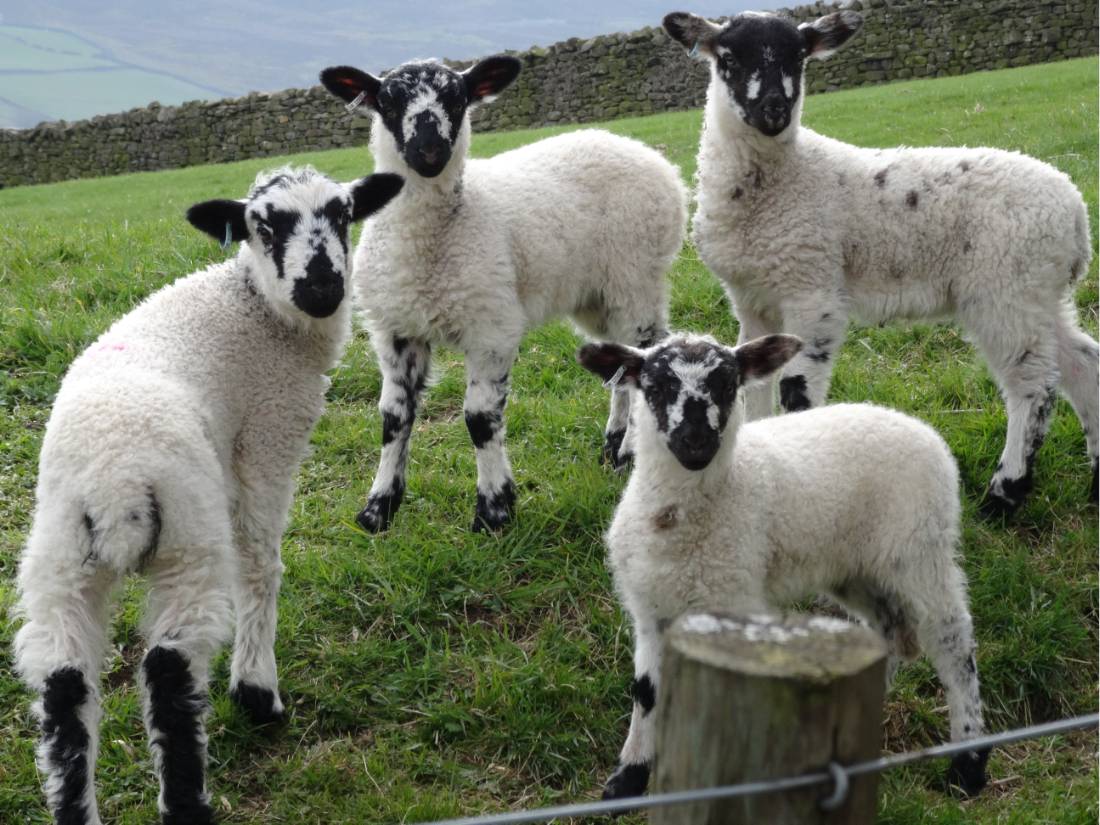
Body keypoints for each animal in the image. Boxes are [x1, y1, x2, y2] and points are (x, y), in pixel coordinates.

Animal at [12, 166, 404, 825]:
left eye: (344, 214)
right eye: (263, 225)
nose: (323, 286)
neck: (259, 311)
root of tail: (113, 477)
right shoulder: (268, 436)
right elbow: (261, 562)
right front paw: (256, 689)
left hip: (59, 554)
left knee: (62, 683)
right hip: (187, 536)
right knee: (169, 671)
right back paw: (188, 799)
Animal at [319, 57, 688, 533]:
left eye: (458, 99)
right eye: (388, 101)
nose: (429, 149)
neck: (430, 243)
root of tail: (649, 155)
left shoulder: (491, 325)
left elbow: (479, 419)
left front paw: (494, 511)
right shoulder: (396, 329)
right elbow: (393, 417)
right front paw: (377, 509)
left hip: (637, 278)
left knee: (645, 353)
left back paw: (629, 451)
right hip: (596, 295)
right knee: (619, 364)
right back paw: (613, 447)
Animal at [577, 332, 990, 802]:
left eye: (728, 385)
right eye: (656, 386)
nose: (696, 442)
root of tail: (920, 427)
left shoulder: (735, 602)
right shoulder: (650, 608)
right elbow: (646, 692)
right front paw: (627, 778)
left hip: (919, 547)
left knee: (951, 638)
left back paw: (969, 763)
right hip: (856, 568)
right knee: (889, 629)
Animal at [662, 9, 1098, 516]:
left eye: (799, 58)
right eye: (728, 59)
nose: (773, 110)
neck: (780, 181)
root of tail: (1075, 213)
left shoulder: (814, 288)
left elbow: (795, 387)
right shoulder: (750, 299)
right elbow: (753, 386)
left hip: (1004, 287)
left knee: (1033, 385)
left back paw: (1004, 493)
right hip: (1040, 289)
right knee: (1082, 364)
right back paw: (1095, 482)